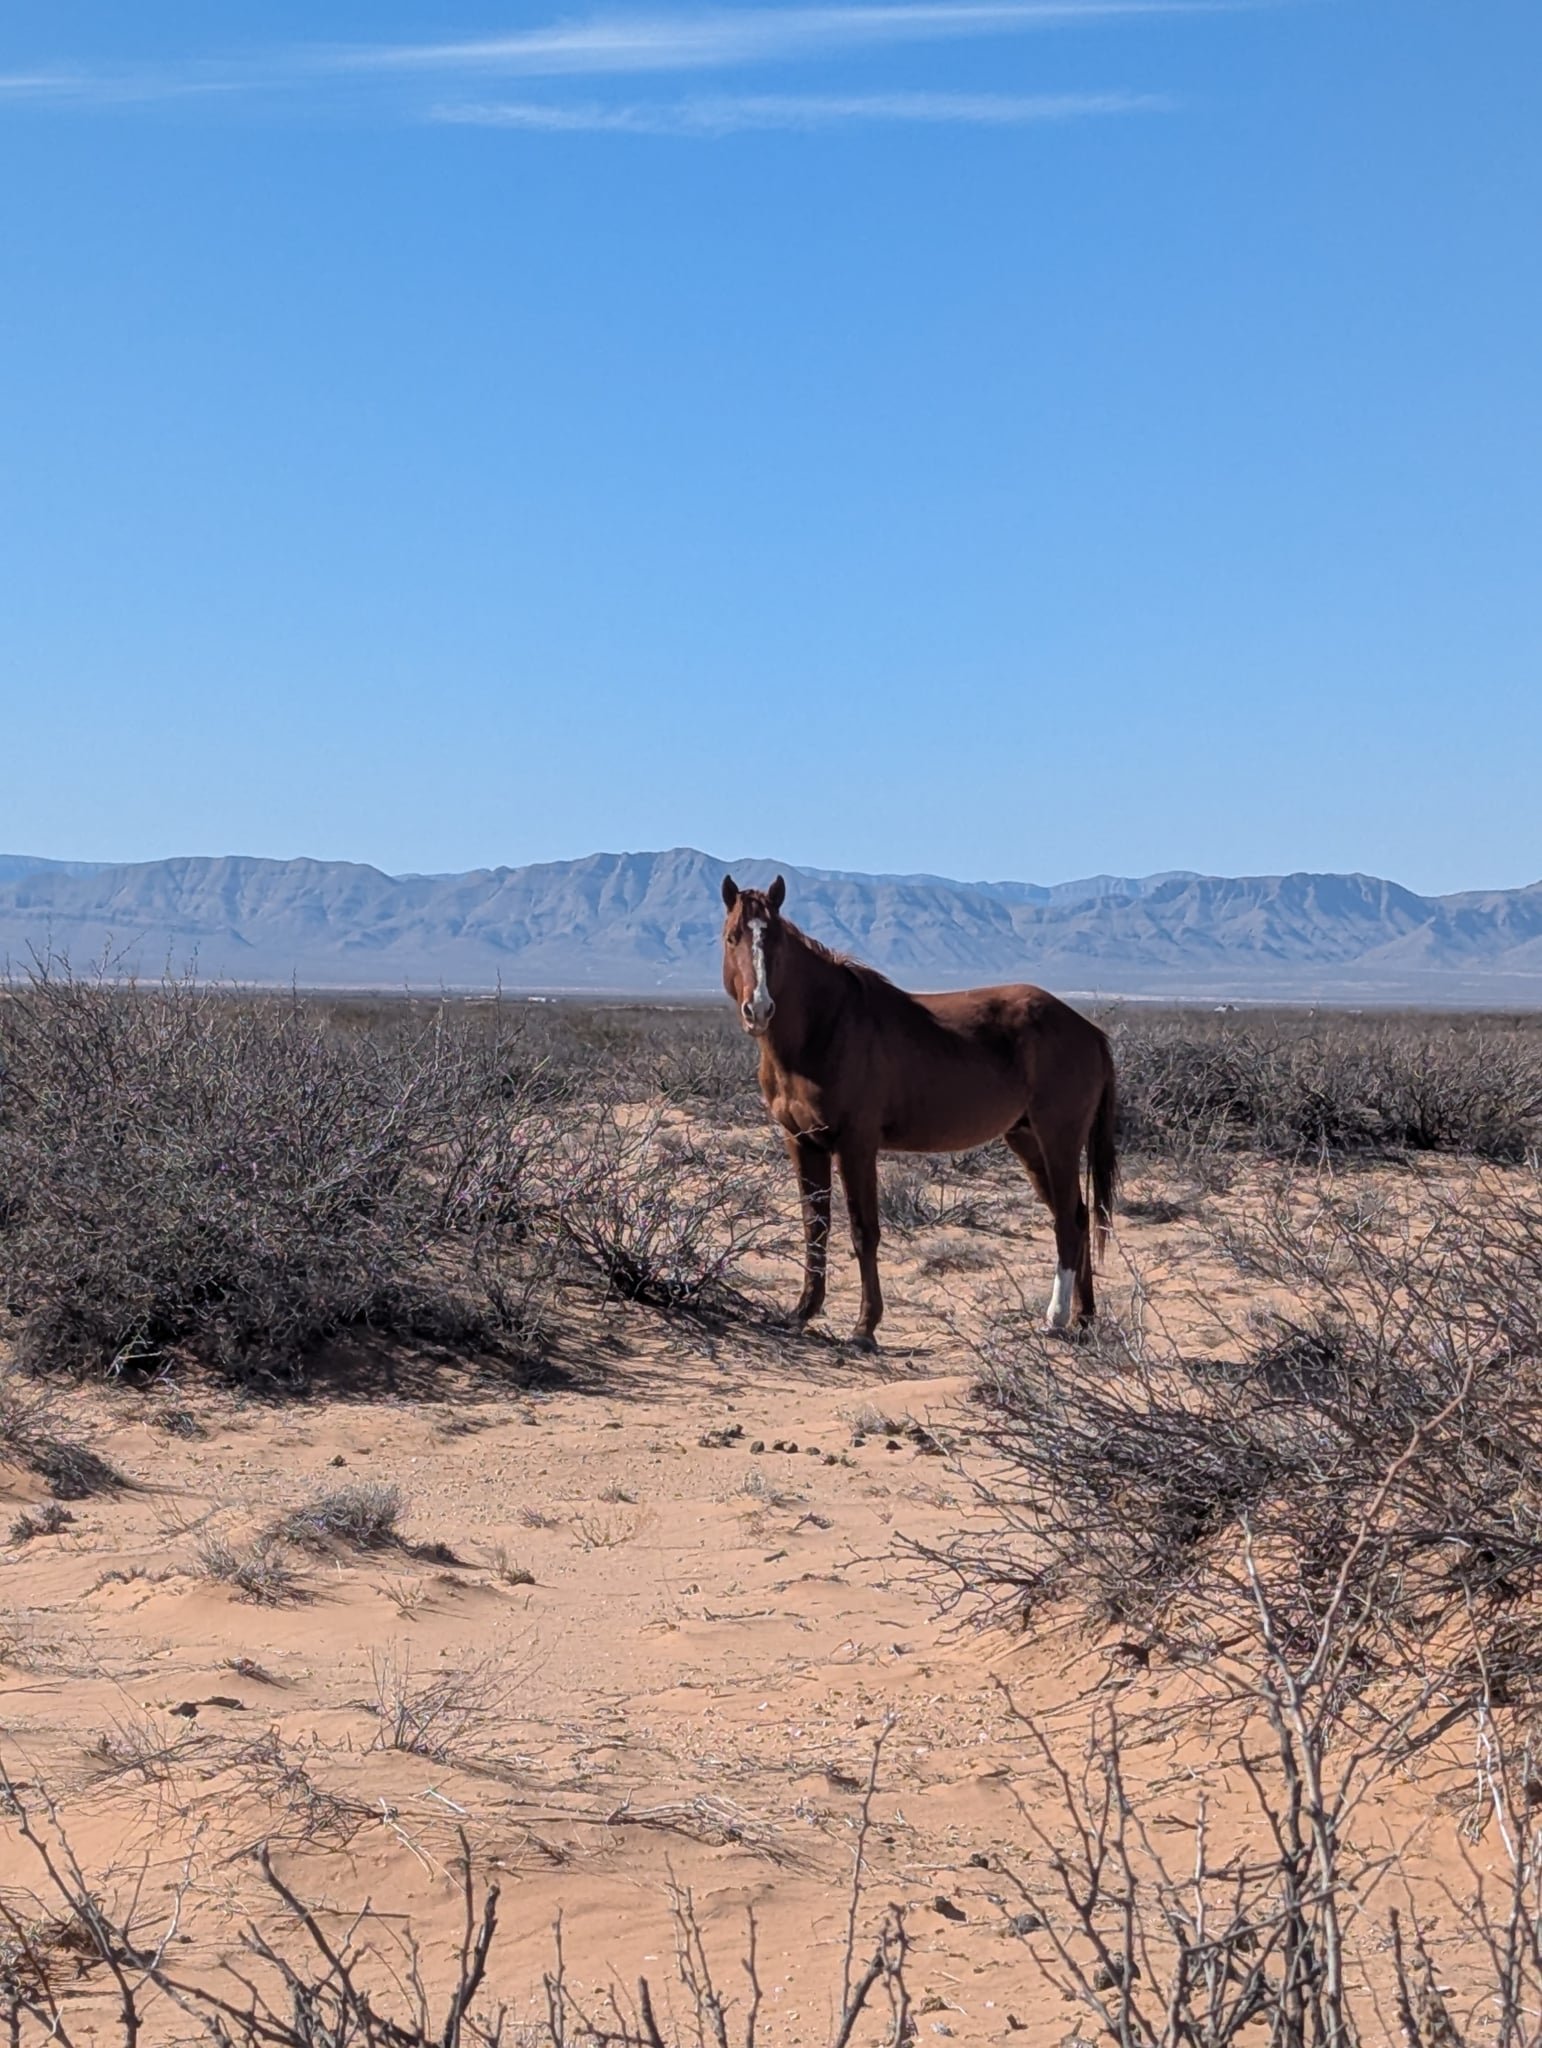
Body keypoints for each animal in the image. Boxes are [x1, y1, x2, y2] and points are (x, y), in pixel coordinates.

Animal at [720, 873, 1118, 1346]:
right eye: (732, 937)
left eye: (775, 941)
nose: (758, 1009)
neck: (824, 1027)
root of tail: (1088, 1030)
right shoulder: (801, 1142)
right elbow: (814, 1227)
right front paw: (802, 1312)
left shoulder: (855, 1145)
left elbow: (863, 1230)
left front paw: (865, 1326)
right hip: (1026, 1138)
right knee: (1075, 1215)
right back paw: (1083, 1317)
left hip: (1058, 1137)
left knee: (1069, 1224)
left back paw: (1055, 1318)